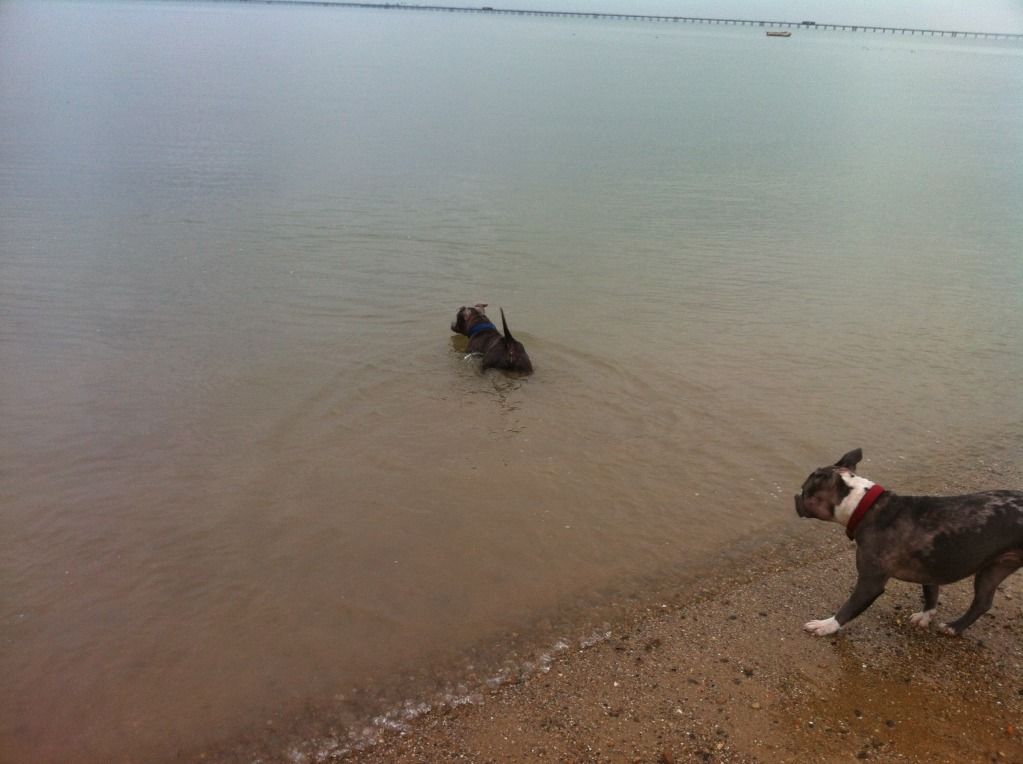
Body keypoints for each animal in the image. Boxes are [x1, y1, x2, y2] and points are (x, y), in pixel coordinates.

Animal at [797, 452, 1023, 638]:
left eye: (804, 491)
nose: (795, 497)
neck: (866, 506)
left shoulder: (870, 583)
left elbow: (848, 608)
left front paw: (826, 625)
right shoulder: (931, 567)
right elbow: (931, 593)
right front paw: (926, 616)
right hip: (994, 568)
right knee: (982, 602)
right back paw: (955, 627)